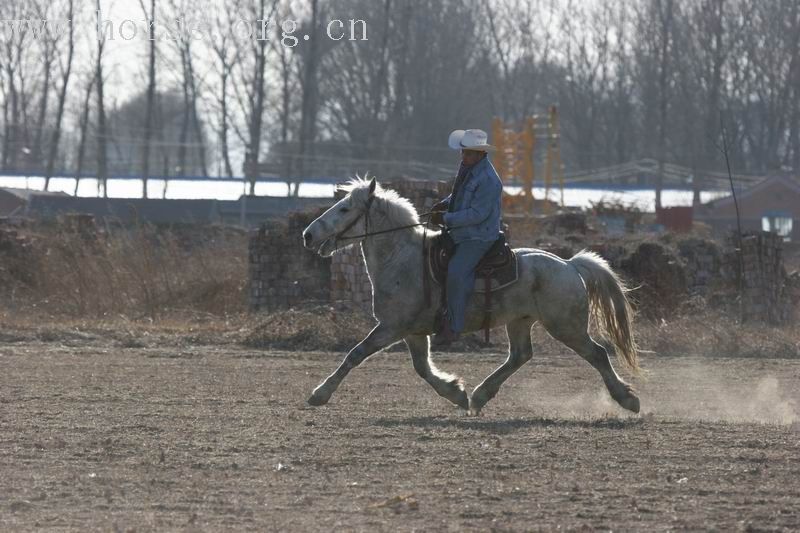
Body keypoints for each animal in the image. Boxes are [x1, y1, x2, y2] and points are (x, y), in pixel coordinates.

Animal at [298, 177, 636, 414]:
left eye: (344, 209)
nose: (308, 235)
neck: (401, 258)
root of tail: (570, 264)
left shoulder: (392, 327)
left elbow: (356, 354)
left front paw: (319, 394)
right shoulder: (413, 332)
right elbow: (422, 368)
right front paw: (456, 393)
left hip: (566, 327)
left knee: (597, 354)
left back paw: (627, 399)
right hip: (520, 322)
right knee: (520, 355)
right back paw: (480, 395)